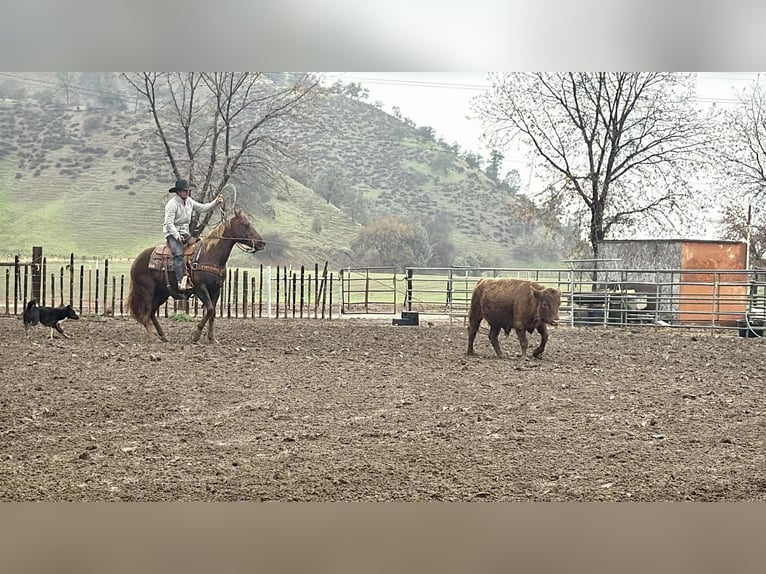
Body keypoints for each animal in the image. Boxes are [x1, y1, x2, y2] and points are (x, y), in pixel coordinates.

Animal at [127, 208, 265, 343]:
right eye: (245, 224)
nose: (262, 243)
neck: (210, 254)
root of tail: (136, 260)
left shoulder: (216, 290)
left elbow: (212, 313)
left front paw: (212, 338)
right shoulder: (200, 288)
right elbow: (210, 309)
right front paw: (196, 336)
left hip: (162, 293)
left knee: (151, 312)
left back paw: (163, 336)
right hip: (147, 290)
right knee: (146, 314)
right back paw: (153, 338)